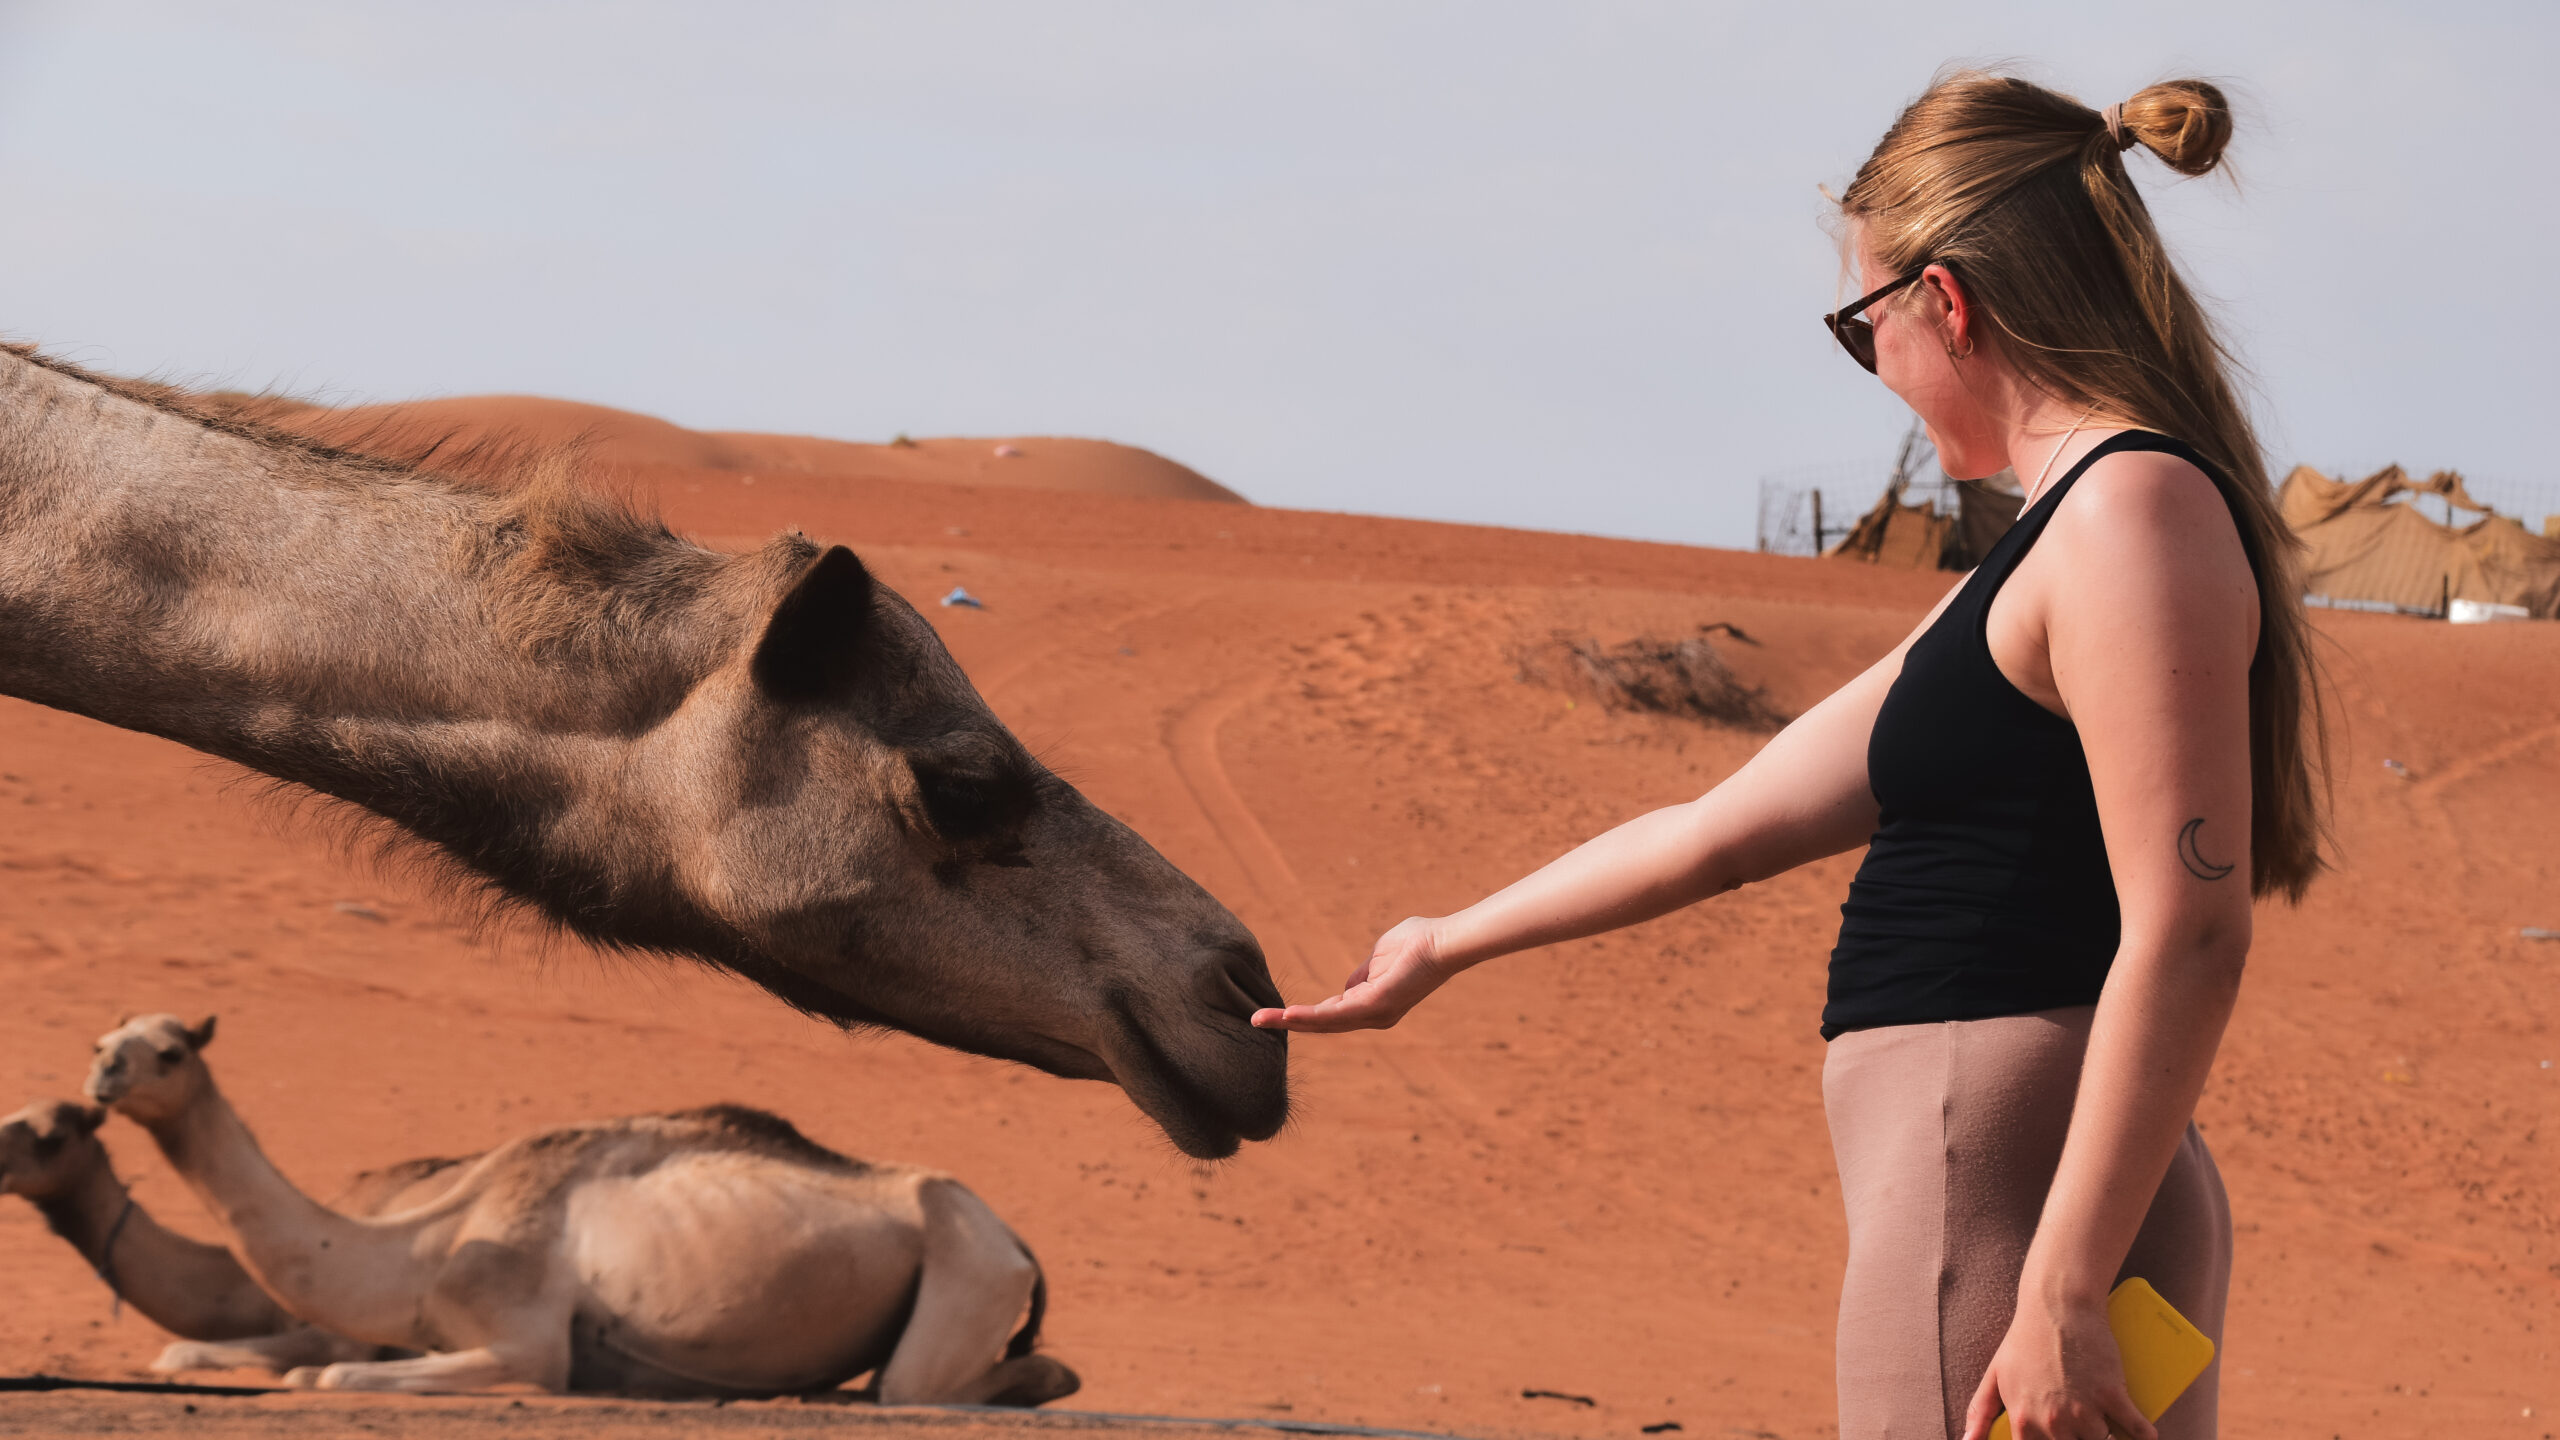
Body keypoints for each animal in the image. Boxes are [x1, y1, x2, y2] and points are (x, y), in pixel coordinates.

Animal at [87, 1015, 1079, 1402]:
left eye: (170, 1051)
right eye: (106, 1040)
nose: (101, 1078)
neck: (421, 1245)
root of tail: (1020, 1244)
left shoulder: (523, 1331)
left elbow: (332, 1375)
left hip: (966, 1270)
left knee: (927, 1385)